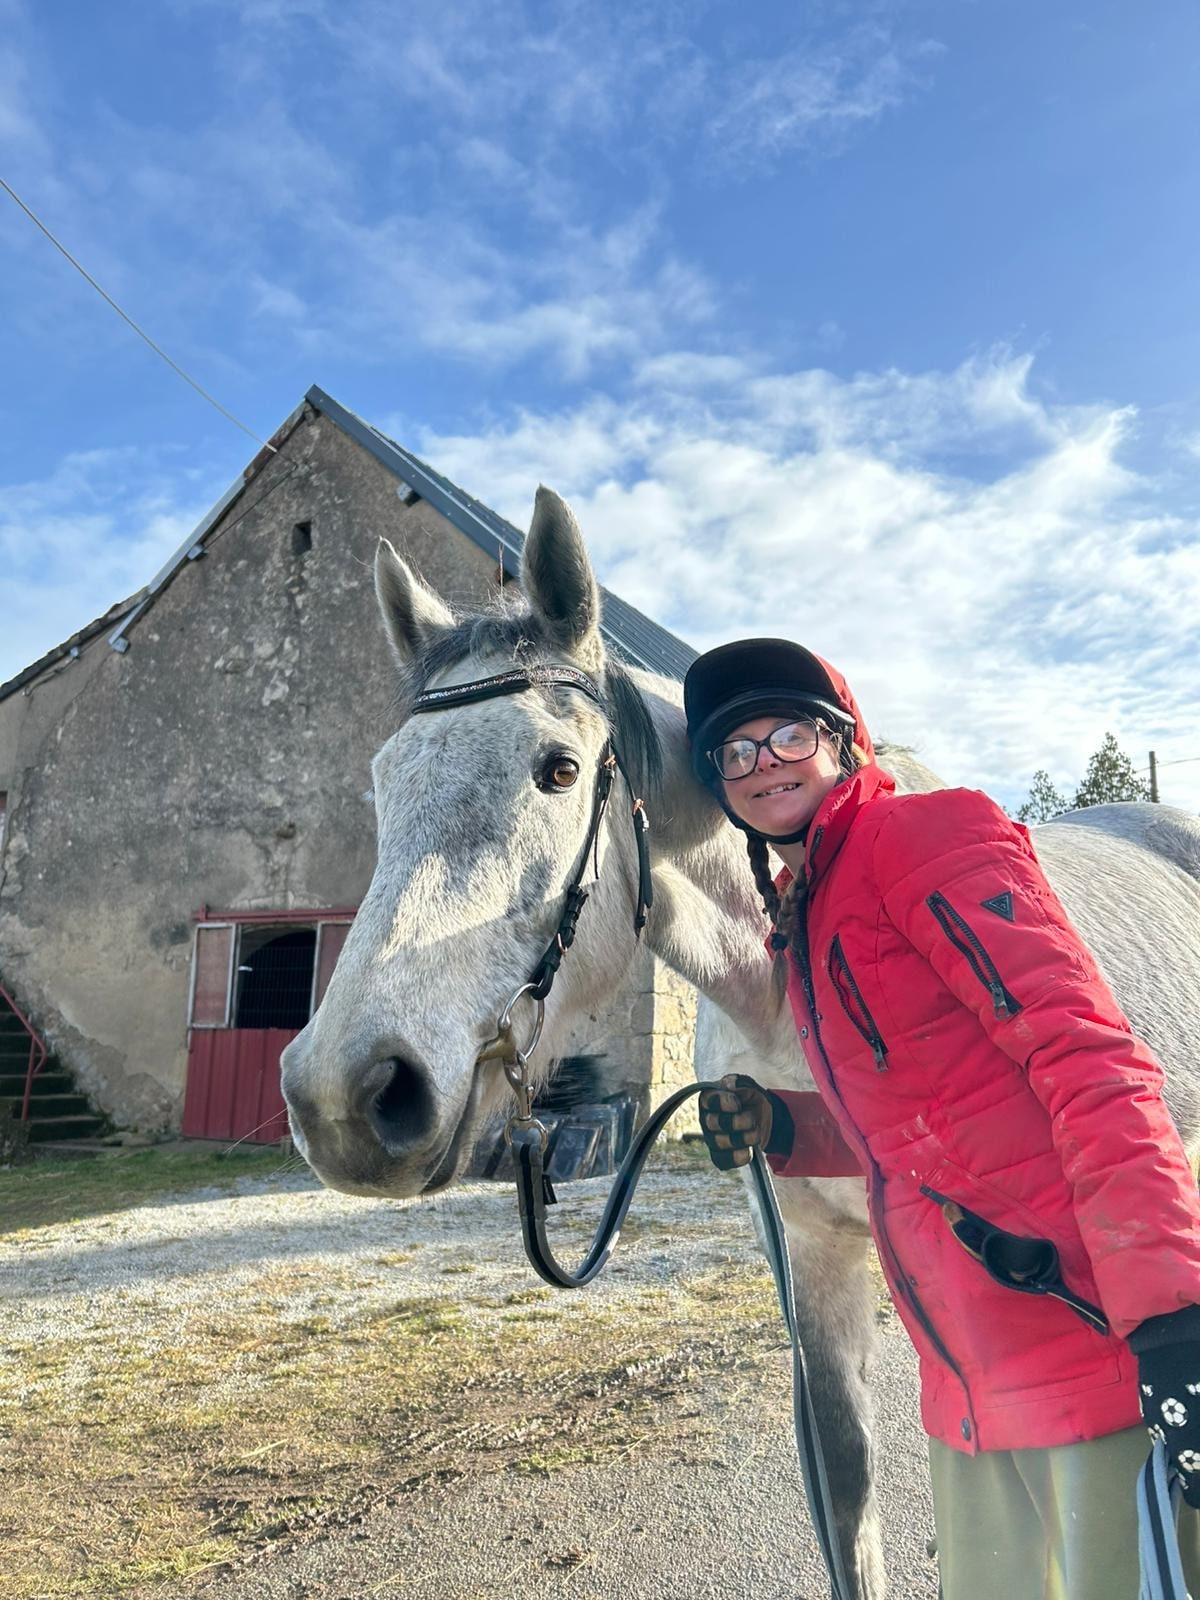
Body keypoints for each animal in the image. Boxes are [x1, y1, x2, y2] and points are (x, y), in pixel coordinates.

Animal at [280, 487, 1200, 1598]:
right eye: (382, 782)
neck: (778, 975)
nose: (345, 1096)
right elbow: (845, 1484)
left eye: (558, 769)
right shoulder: (807, 1248)